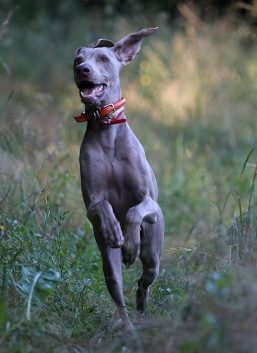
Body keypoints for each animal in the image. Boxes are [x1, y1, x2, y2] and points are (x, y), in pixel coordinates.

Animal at [73, 27, 163, 330]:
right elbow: (101, 205)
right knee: (118, 291)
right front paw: (114, 229)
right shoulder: (91, 203)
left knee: (148, 275)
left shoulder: (150, 202)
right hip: (107, 265)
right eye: (78, 59)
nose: (82, 69)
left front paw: (129, 241)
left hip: (154, 247)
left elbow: (135, 211)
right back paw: (128, 329)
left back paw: (141, 298)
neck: (107, 128)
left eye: (103, 58)